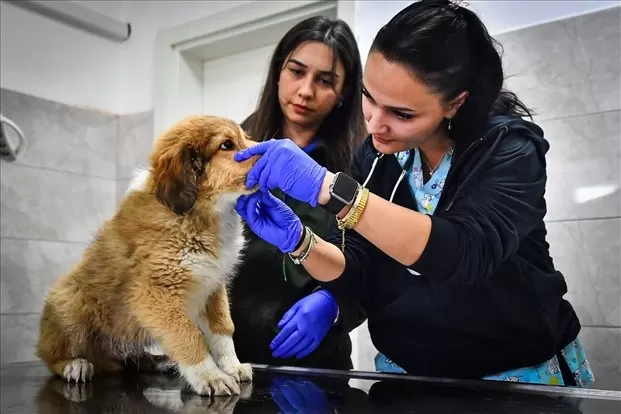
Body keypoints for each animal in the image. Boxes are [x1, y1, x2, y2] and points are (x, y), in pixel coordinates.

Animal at [35, 115, 258, 396]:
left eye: (245, 137)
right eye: (227, 145)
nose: (277, 147)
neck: (200, 213)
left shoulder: (213, 286)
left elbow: (223, 329)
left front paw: (232, 366)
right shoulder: (157, 292)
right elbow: (188, 334)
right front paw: (210, 375)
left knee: (131, 360)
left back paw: (158, 361)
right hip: (68, 300)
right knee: (51, 354)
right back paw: (74, 365)